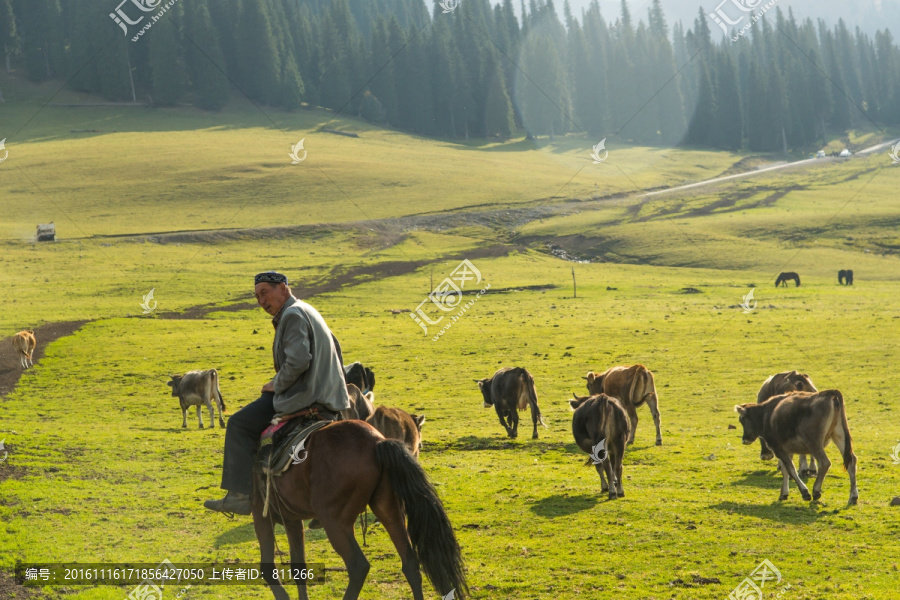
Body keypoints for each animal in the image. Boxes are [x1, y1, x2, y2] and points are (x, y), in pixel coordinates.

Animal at [250, 420, 468, 600]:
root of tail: (376, 442)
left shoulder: (262, 515)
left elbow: (268, 567)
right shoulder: (291, 519)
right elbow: (298, 568)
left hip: (335, 522)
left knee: (358, 567)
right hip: (390, 511)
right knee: (410, 563)